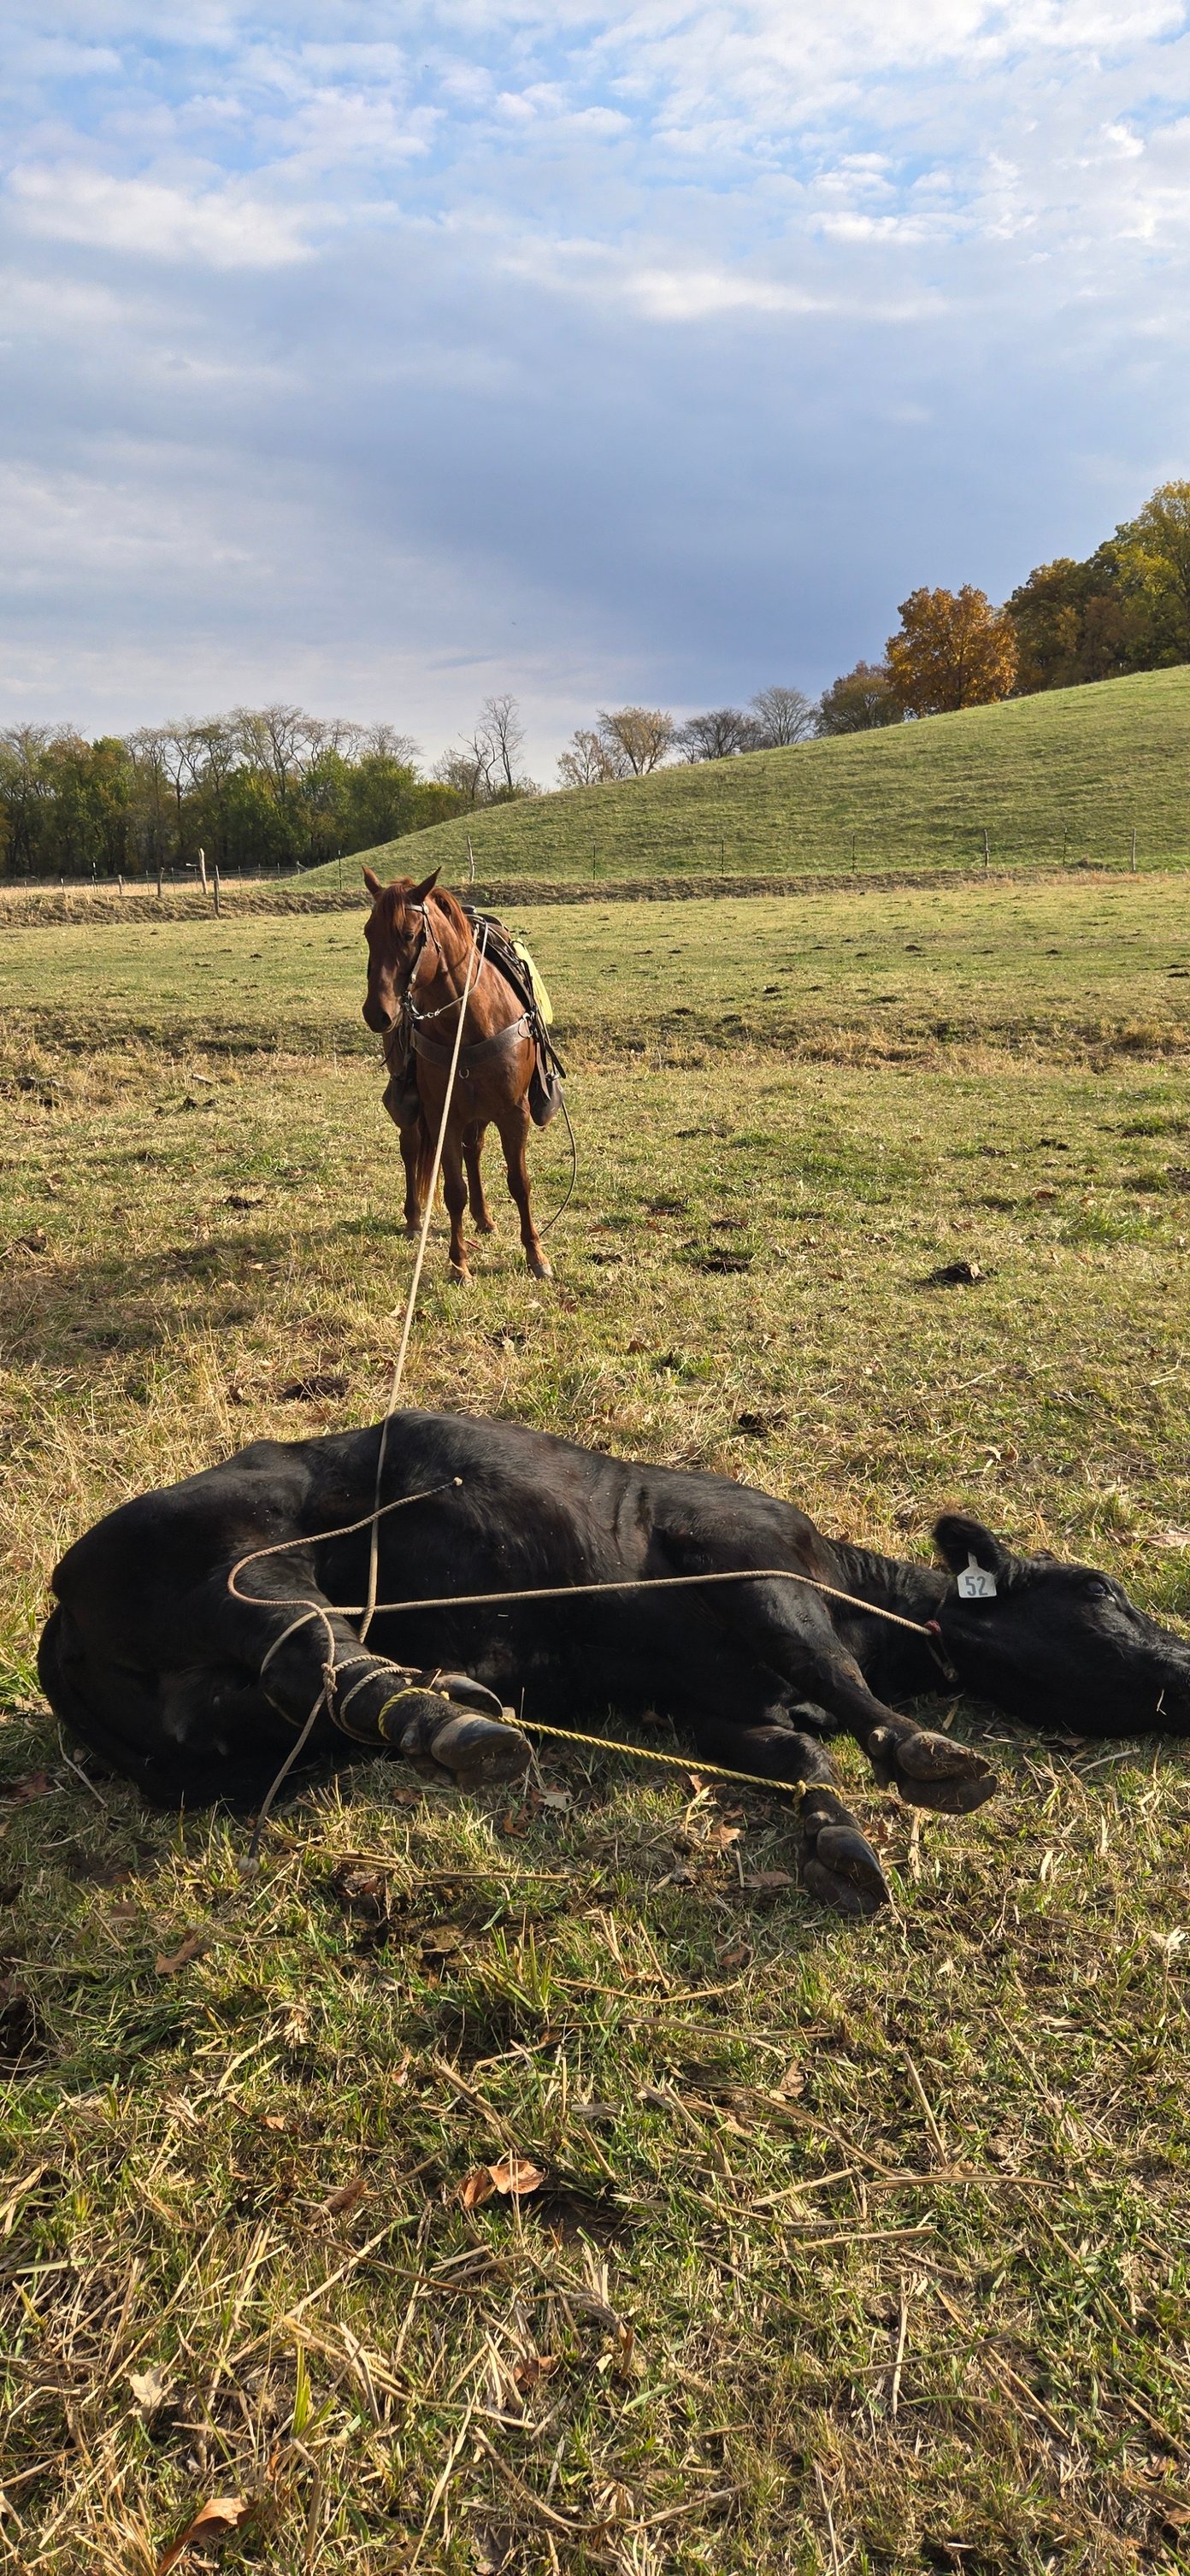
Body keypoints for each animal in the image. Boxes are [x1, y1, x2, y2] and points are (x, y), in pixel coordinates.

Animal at [38, 1409, 1190, 1916]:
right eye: (1101, 1589)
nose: (1185, 1662)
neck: (855, 1590)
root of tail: (55, 1610)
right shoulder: (748, 1561)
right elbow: (837, 1679)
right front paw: (925, 1756)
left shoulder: (724, 1706)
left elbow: (799, 1755)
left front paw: (841, 1837)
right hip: (245, 1565)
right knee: (323, 1660)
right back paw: (450, 1721)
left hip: (232, 1724)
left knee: (296, 1701)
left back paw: (453, 1696)